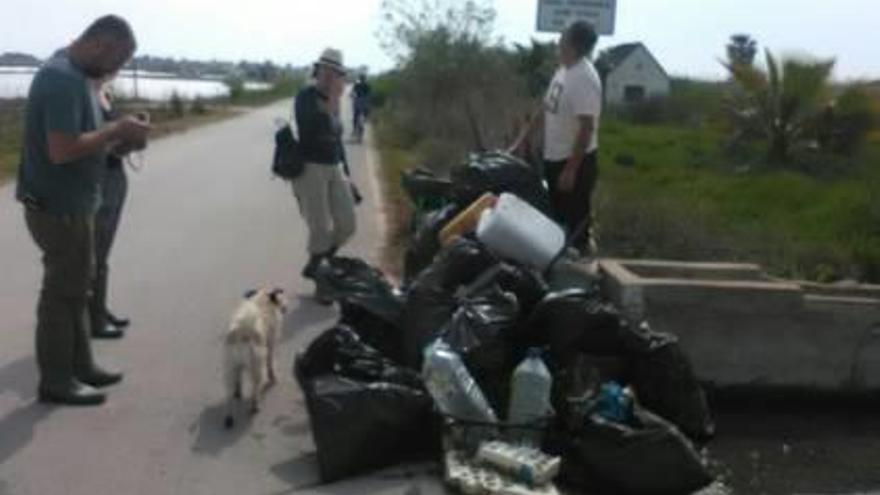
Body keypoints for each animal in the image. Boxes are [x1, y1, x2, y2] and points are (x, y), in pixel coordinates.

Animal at [225, 288, 288, 428]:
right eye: (281, 298)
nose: (285, 307)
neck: (262, 299)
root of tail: (242, 333)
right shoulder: (271, 344)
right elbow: (270, 364)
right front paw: (273, 378)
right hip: (256, 365)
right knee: (255, 389)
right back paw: (255, 406)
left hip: (231, 367)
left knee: (231, 391)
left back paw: (230, 412)